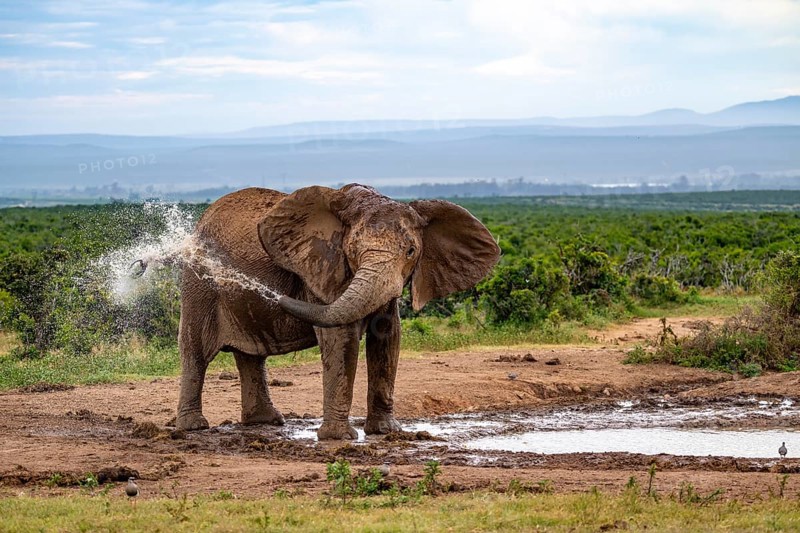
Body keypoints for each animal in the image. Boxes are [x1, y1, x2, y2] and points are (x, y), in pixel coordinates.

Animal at [171, 184, 500, 439]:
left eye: (410, 252)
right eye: (352, 250)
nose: (278, 295)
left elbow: (388, 338)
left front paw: (386, 432)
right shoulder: (323, 274)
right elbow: (341, 339)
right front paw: (339, 438)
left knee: (251, 355)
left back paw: (266, 422)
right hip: (199, 283)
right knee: (195, 350)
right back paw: (194, 427)